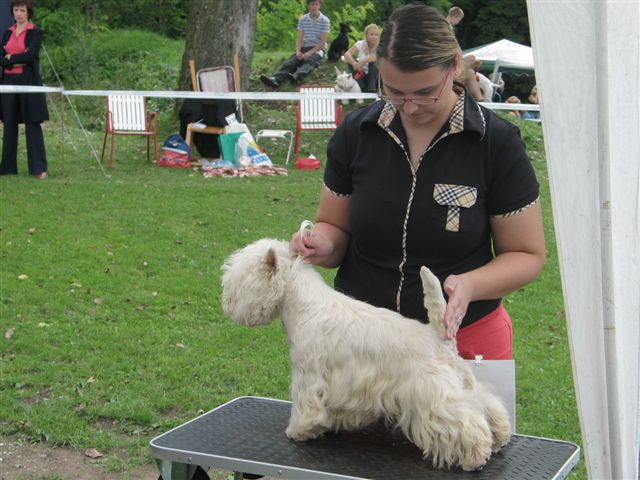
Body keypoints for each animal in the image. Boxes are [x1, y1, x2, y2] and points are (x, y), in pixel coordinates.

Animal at [222, 238, 512, 470]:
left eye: (239, 281)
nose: (227, 304)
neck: (304, 306)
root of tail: (438, 335)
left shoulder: (308, 375)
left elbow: (306, 407)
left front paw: (299, 431)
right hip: (460, 382)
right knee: (486, 404)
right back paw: (499, 436)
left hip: (435, 396)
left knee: (466, 423)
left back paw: (475, 457)